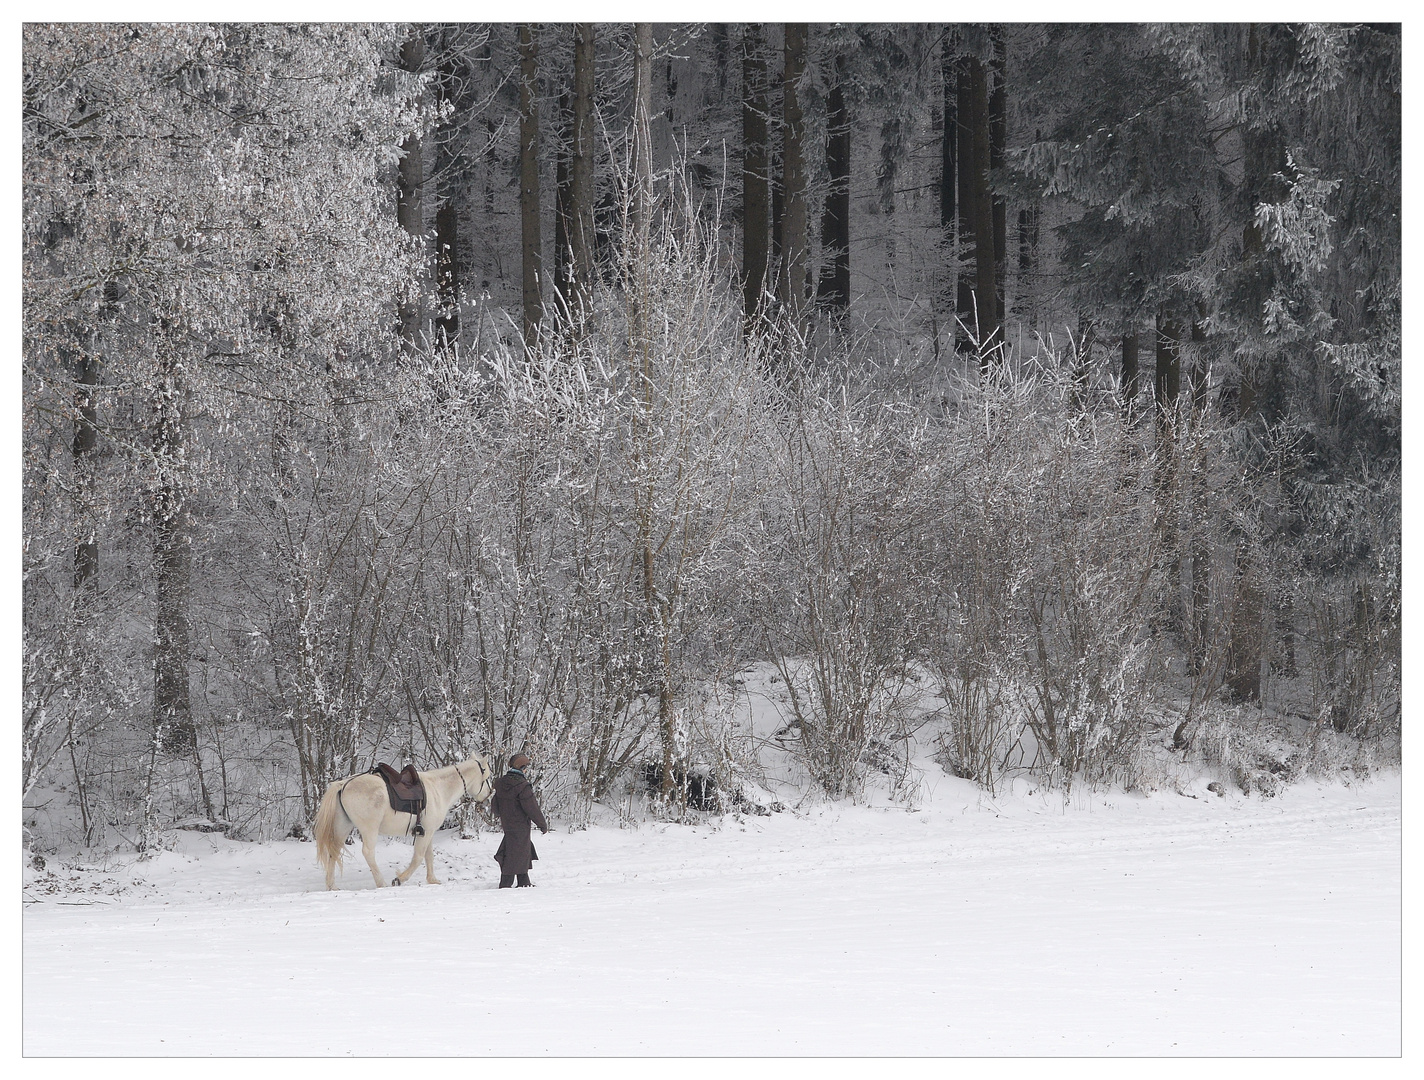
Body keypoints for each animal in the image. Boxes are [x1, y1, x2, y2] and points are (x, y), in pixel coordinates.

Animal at [313, 757, 495, 894]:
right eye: (487, 777)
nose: (489, 796)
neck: (438, 789)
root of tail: (343, 785)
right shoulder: (426, 833)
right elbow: (418, 857)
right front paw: (399, 879)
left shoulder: (428, 832)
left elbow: (429, 856)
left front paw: (432, 880)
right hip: (369, 829)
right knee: (368, 853)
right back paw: (381, 883)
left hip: (343, 827)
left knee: (334, 851)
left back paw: (332, 886)